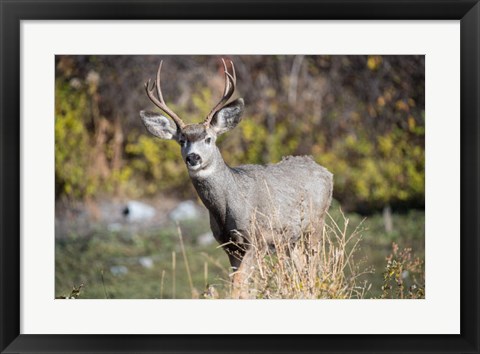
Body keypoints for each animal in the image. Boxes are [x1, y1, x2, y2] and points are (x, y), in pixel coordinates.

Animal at [141, 58, 332, 298]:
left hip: (316, 224)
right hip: (291, 240)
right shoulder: (229, 245)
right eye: (182, 140)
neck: (228, 205)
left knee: (312, 266)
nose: (193, 157)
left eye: (208, 138)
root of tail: (326, 172)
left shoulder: (256, 239)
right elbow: (241, 285)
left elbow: (239, 284)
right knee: (302, 269)